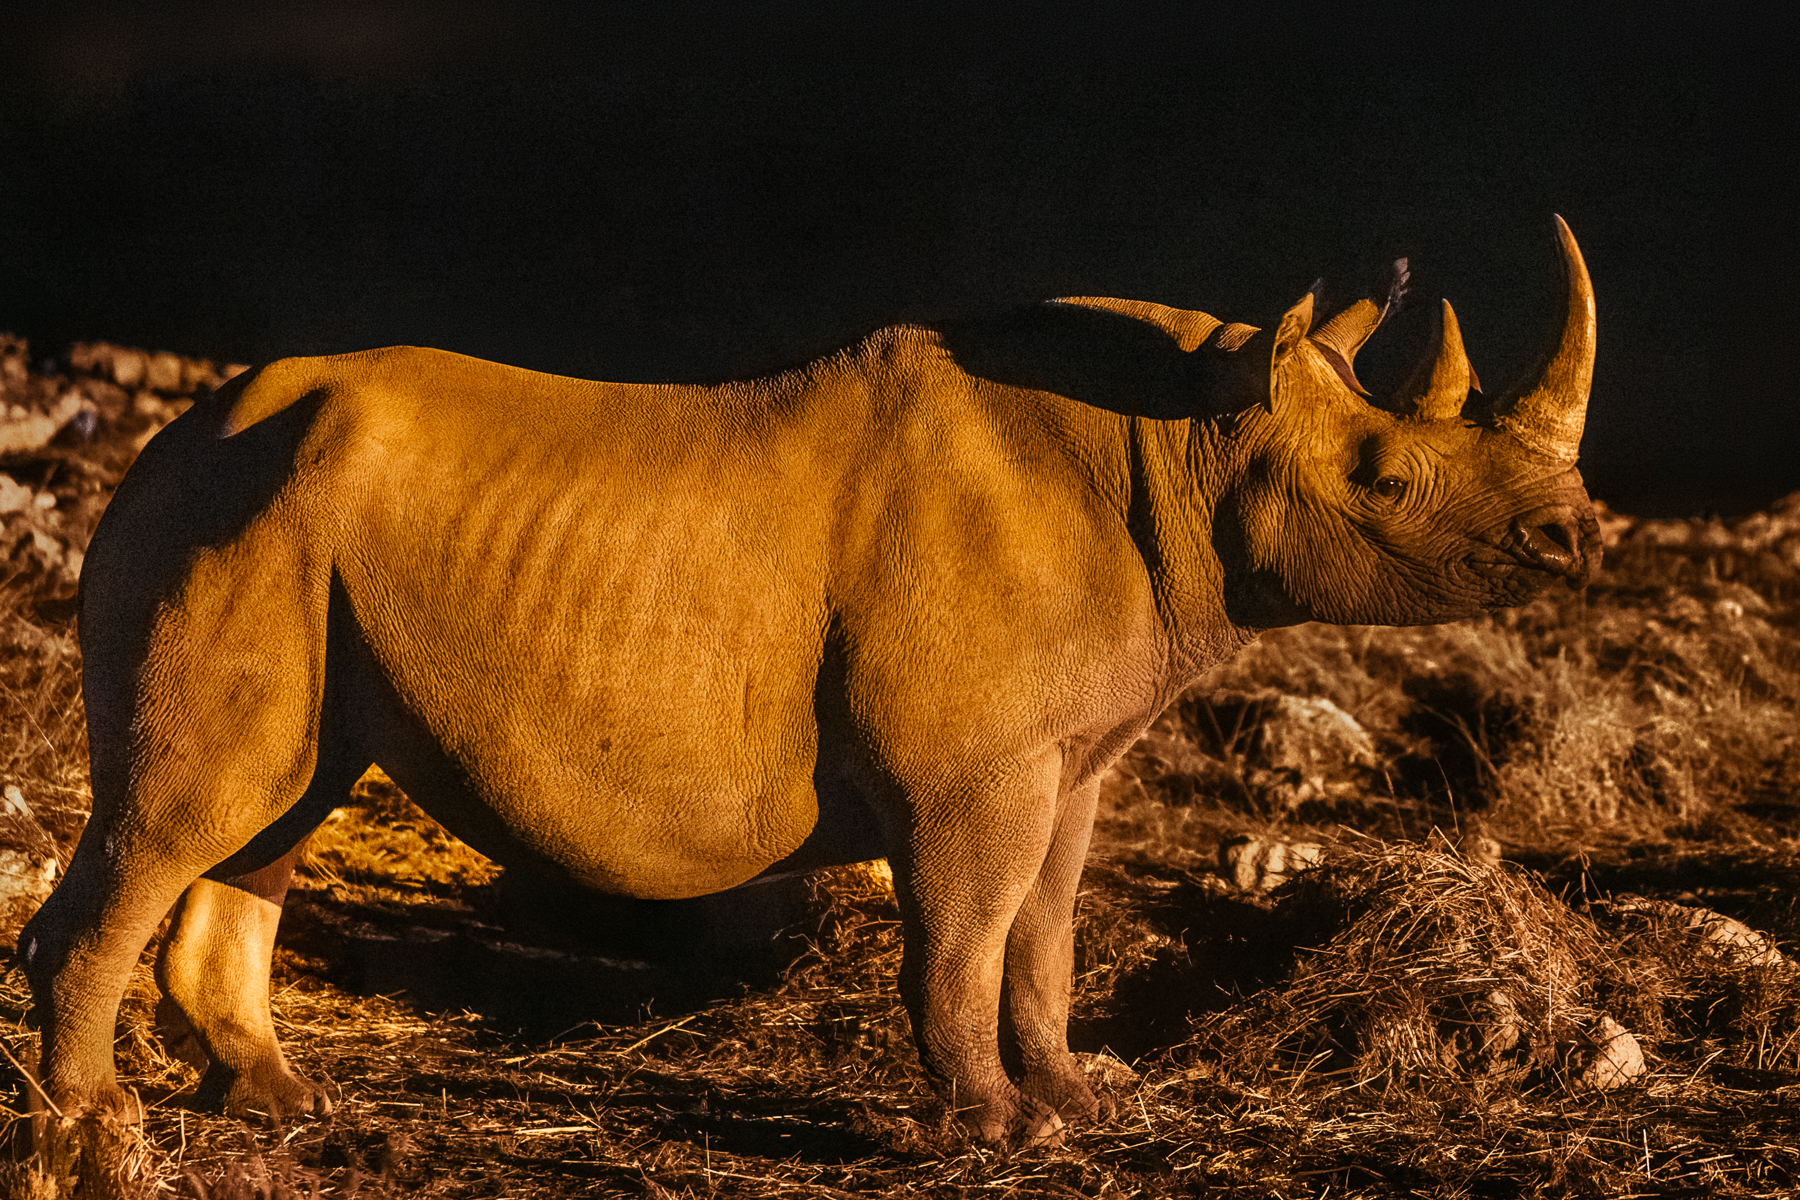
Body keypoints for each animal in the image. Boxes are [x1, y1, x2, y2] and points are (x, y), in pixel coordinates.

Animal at [20, 218, 1599, 1145]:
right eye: (1385, 480)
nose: (1572, 541)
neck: (1193, 438)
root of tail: (161, 450)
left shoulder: (1073, 753)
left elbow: (1047, 929)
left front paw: (1082, 1095)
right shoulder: (971, 768)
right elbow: (967, 930)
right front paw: (999, 1127)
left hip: (278, 520)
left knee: (279, 806)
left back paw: (287, 1099)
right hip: (233, 517)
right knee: (189, 812)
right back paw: (94, 1126)